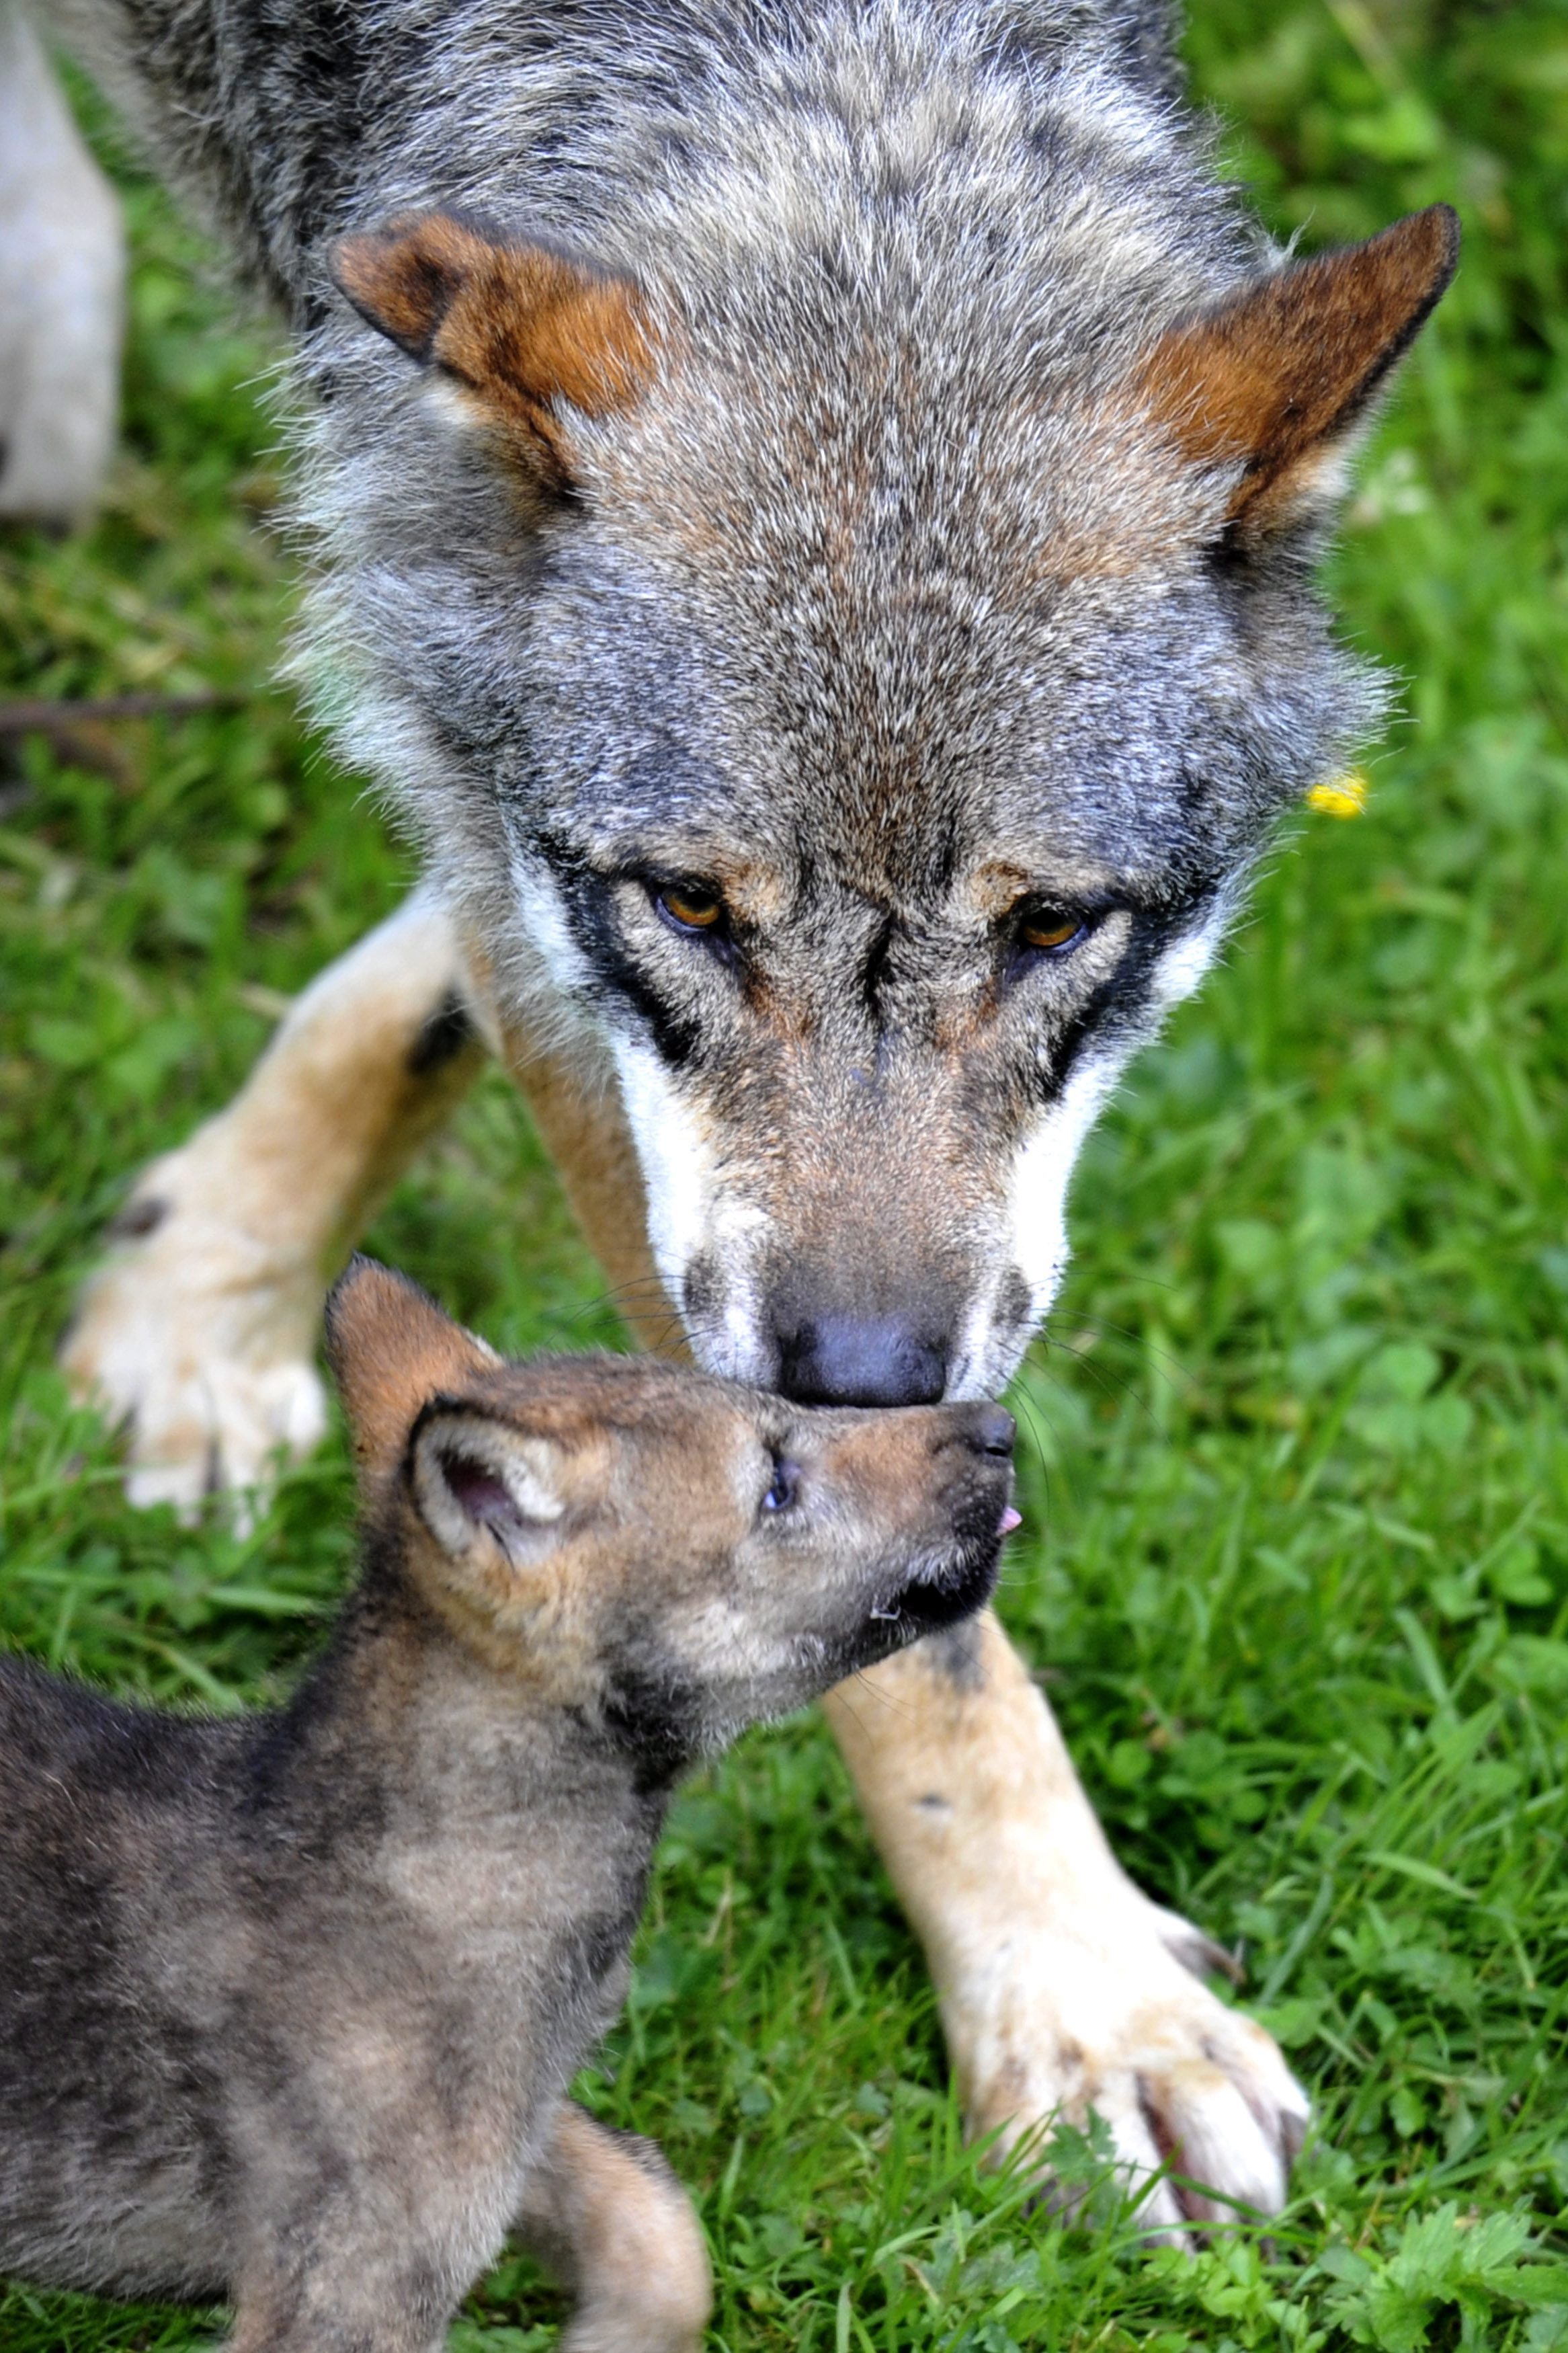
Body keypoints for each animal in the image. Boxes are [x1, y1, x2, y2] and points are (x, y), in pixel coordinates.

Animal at [49, 0, 1457, 2221]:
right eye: (694, 905)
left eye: (1049, 923)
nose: (870, 1372)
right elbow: (917, 1632)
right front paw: (1076, 2009)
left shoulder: (440, 645)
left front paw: (220, 1269)